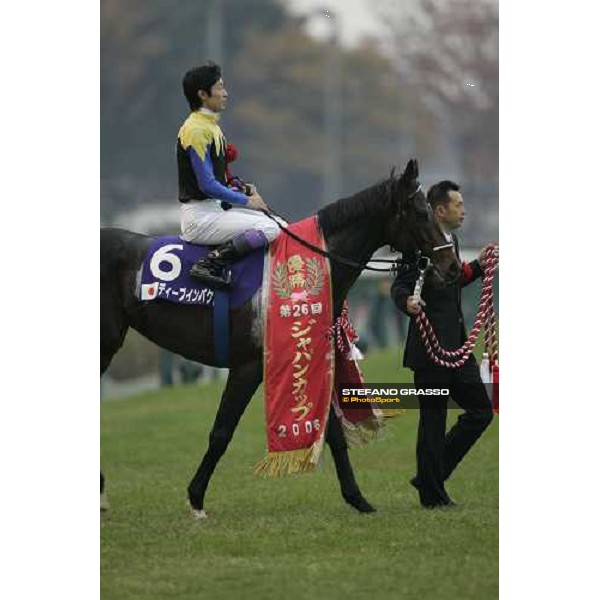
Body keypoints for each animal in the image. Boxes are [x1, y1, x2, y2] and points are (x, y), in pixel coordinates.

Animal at [102, 159, 460, 516]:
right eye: (421, 212)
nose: (453, 266)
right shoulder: (248, 366)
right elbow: (221, 432)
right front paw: (196, 498)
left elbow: (331, 433)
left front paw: (358, 499)